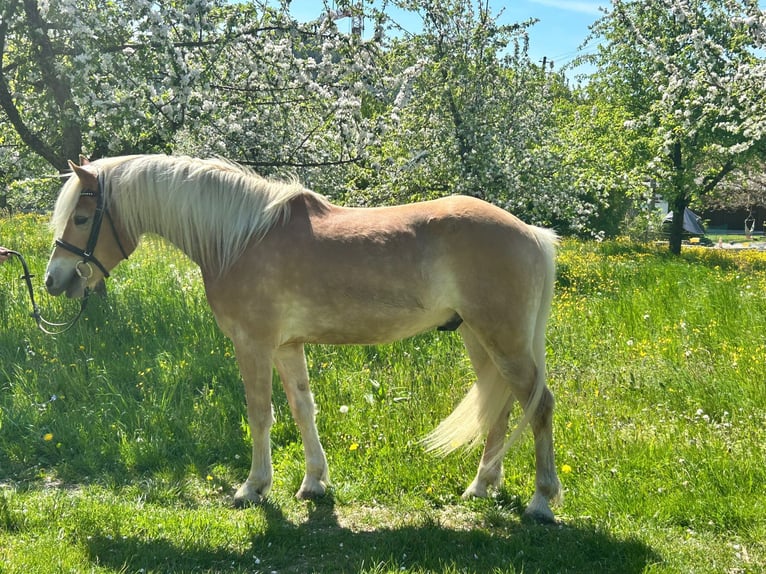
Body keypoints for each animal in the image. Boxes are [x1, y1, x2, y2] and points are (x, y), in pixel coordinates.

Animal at [44, 154, 562, 522]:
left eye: (82, 218)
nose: (54, 280)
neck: (239, 238)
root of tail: (532, 233)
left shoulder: (252, 344)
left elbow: (260, 414)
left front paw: (253, 487)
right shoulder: (287, 347)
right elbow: (301, 408)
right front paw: (314, 482)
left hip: (504, 340)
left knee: (539, 405)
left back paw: (541, 501)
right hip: (478, 337)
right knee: (498, 407)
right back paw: (482, 486)